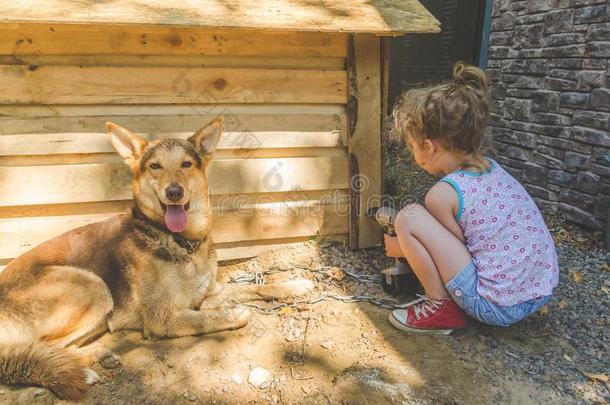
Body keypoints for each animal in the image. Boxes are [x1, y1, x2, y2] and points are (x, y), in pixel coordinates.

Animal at [0, 117, 314, 398]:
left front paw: (294, 285)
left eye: (186, 164)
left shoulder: (207, 292)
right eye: (155, 166)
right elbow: (204, 319)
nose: (174, 192)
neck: (182, 241)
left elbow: (256, 288)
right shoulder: (163, 318)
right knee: (42, 347)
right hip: (91, 285)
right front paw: (230, 314)